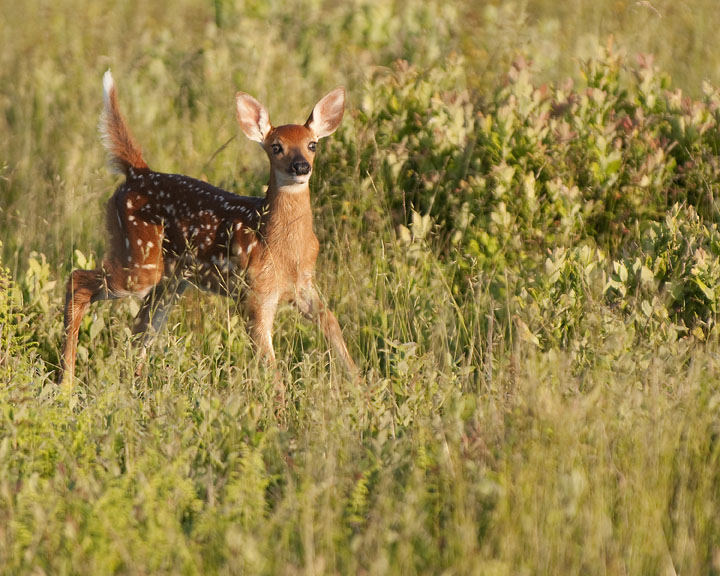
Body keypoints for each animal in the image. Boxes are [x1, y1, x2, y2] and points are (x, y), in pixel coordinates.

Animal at [59, 70, 357, 385]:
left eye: (313, 144)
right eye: (277, 147)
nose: (301, 166)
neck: (282, 246)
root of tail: (137, 173)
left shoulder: (304, 285)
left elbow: (332, 323)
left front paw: (360, 384)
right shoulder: (255, 293)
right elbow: (269, 363)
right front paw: (281, 399)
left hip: (171, 281)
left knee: (141, 329)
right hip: (139, 260)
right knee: (77, 280)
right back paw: (66, 382)